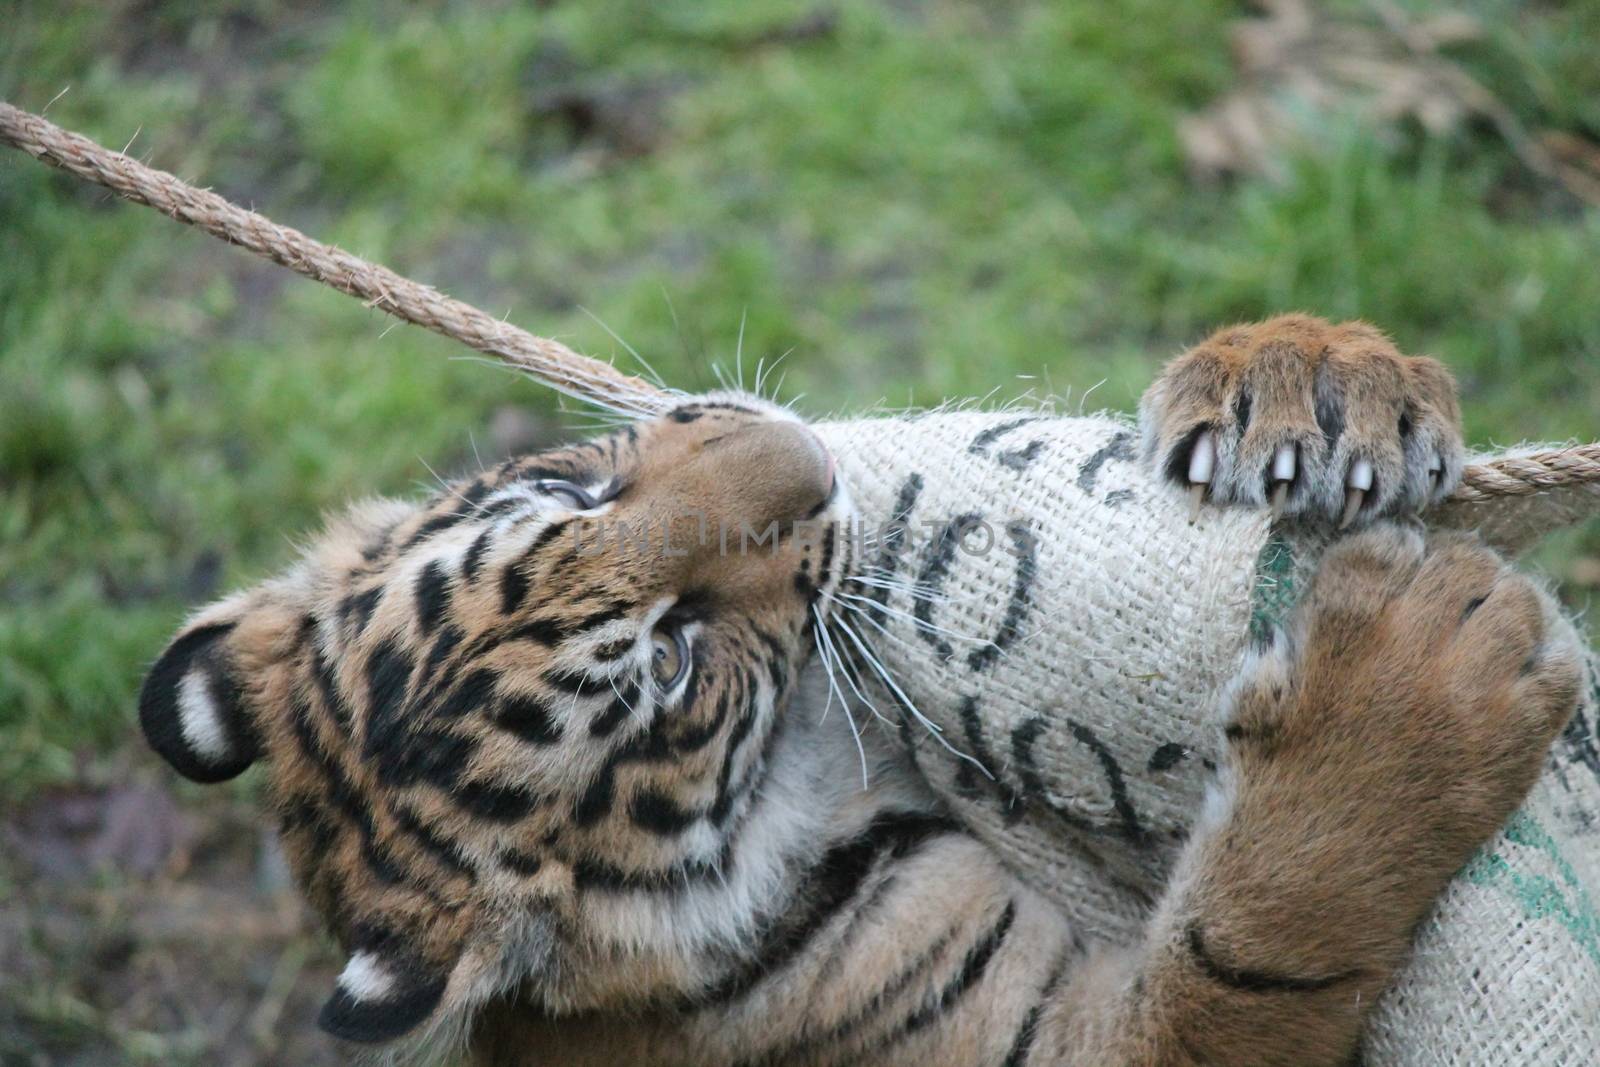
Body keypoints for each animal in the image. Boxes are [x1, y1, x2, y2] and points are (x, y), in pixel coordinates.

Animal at [140, 319, 1587, 1067]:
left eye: (569, 489)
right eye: (671, 659)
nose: (804, 457)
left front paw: (1316, 379)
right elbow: (1261, 937)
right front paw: (1418, 673)